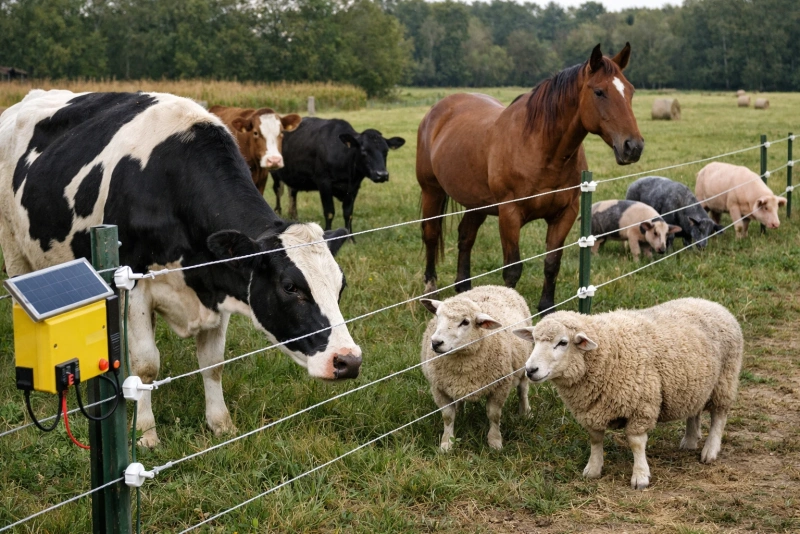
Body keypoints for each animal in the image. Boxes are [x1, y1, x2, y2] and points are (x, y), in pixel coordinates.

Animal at [0, 90, 361, 447]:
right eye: (290, 287)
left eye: (340, 286)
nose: (348, 360)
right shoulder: (134, 285)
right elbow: (146, 365)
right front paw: (145, 432)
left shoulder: (219, 283)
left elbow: (213, 363)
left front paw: (221, 423)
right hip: (15, 250)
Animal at [271, 117, 405, 234]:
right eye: (364, 151)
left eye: (386, 151)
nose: (382, 174)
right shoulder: (324, 183)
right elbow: (329, 212)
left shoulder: (354, 187)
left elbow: (348, 213)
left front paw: (350, 238)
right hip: (274, 172)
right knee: (278, 191)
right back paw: (278, 213)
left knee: (292, 192)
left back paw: (294, 217)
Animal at [420, 285, 532, 451]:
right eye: (438, 316)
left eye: (465, 322)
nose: (436, 343)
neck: (462, 364)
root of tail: (498, 286)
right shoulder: (439, 388)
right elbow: (447, 416)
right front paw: (447, 443)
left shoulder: (500, 386)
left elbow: (494, 415)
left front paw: (495, 442)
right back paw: (460, 411)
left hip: (524, 364)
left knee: (523, 390)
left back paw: (525, 413)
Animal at [513, 298, 743, 489]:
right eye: (534, 340)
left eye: (562, 342)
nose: (530, 370)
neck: (607, 351)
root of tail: (712, 303)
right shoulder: (592, 409)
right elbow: (595, 439)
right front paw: (593, 469)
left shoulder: (641, 405)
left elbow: (636, 442)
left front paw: (640, 476)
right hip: (694, 384)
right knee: (694, 410)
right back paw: (690, 440)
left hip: (725, 379)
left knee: (719, 416)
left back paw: (710, 451)